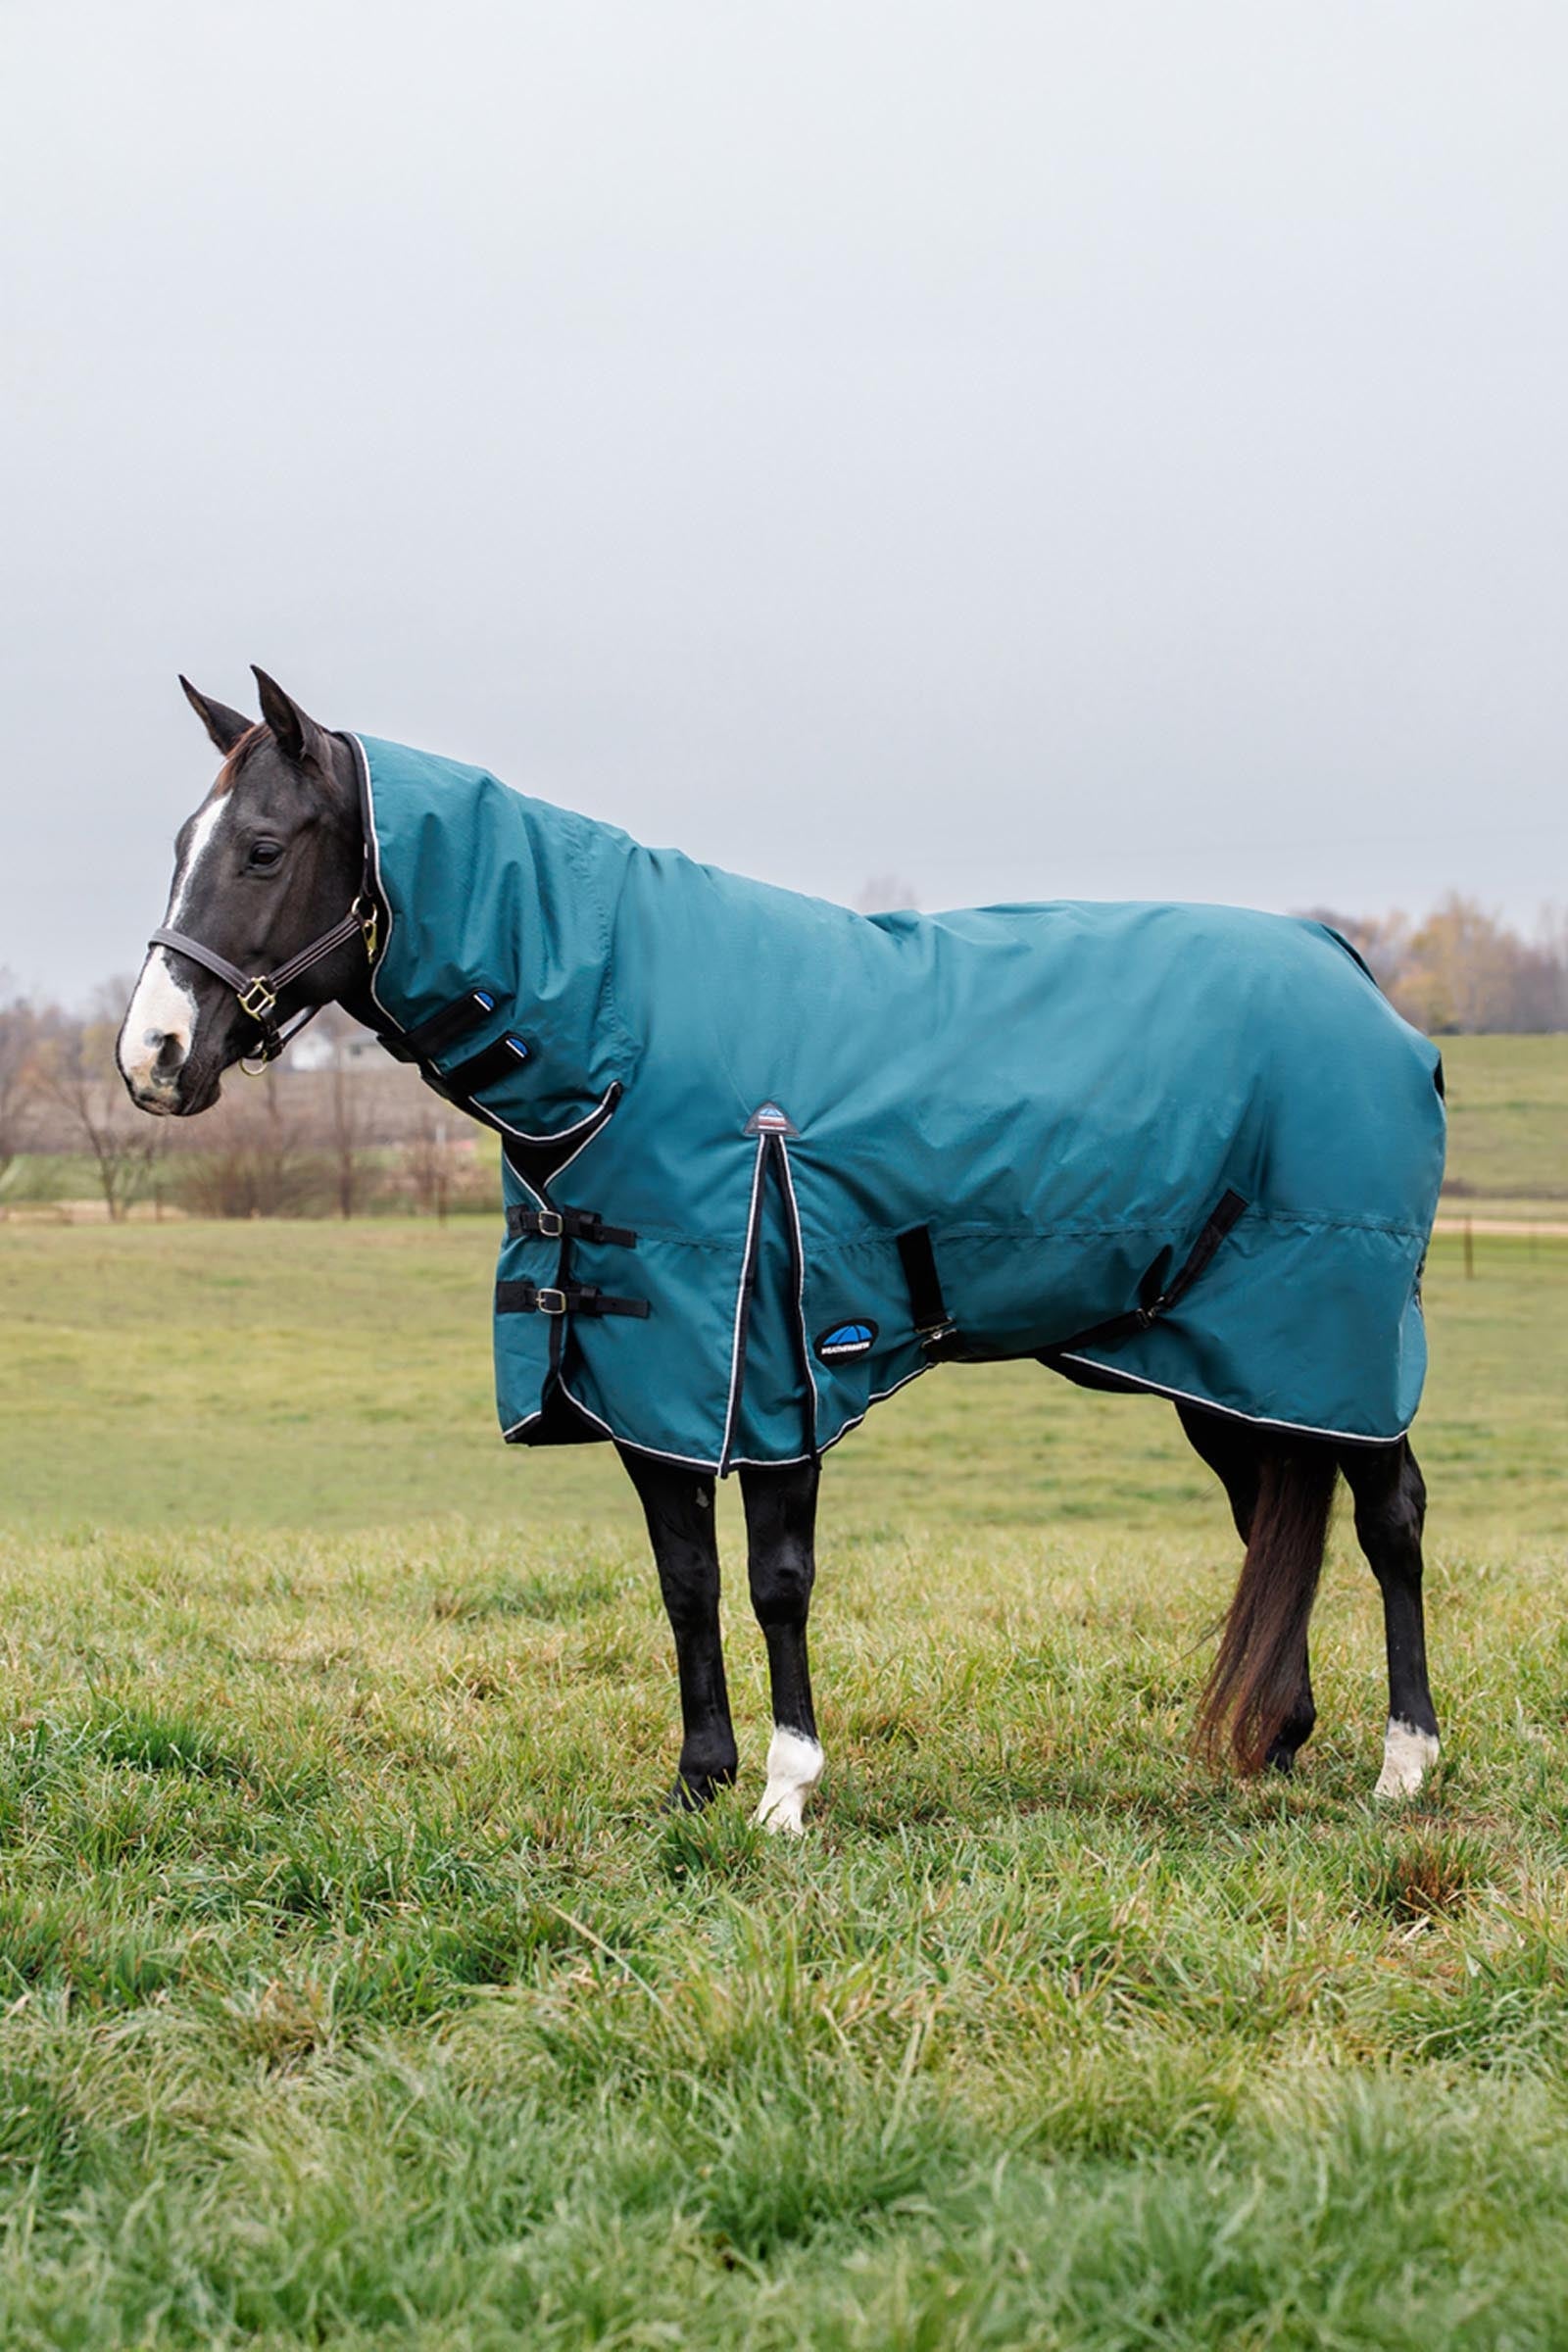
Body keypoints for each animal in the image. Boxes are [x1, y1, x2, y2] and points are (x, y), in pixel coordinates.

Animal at [117, 668, 1445, 1828]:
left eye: (263, 849)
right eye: (180, 846)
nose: (152, 1058)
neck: (622, 1038)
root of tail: (1353, 974)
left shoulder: (775, 1364)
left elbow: (776, 1581)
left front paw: (785, 1791)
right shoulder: (646, 1372)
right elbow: (686, 1581)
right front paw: (696, 1783)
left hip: (1341, 1341)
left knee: (1389, 1516)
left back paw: (1403, 1765)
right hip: (1222, 1365)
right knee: (1274, 1516)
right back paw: (1274, 1740)